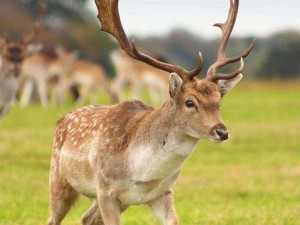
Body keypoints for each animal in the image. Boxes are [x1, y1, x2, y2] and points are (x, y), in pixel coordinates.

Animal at [47, 0, 255, 224]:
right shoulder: (105, 189)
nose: (222, 131)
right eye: (190, 102)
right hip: (58, 179)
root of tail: (61, 120)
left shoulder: (163, 192)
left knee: (87, 218)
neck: (142, 175)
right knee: (54, 218)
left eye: (219, 102)